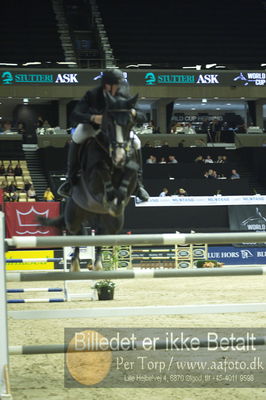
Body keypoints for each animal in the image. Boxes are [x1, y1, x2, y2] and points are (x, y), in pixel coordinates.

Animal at [40, 91, 139, 272]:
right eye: (109, 123)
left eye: (130, 123)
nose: (120, 157)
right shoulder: (93, 178)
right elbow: (102, 173)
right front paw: (111, 195)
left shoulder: (131, 172)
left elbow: (128, 178)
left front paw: (118, 198)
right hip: (73, 217)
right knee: (77, 235)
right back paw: (75, 265)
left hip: (111, 223)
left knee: (100, 235)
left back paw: (98, 264)